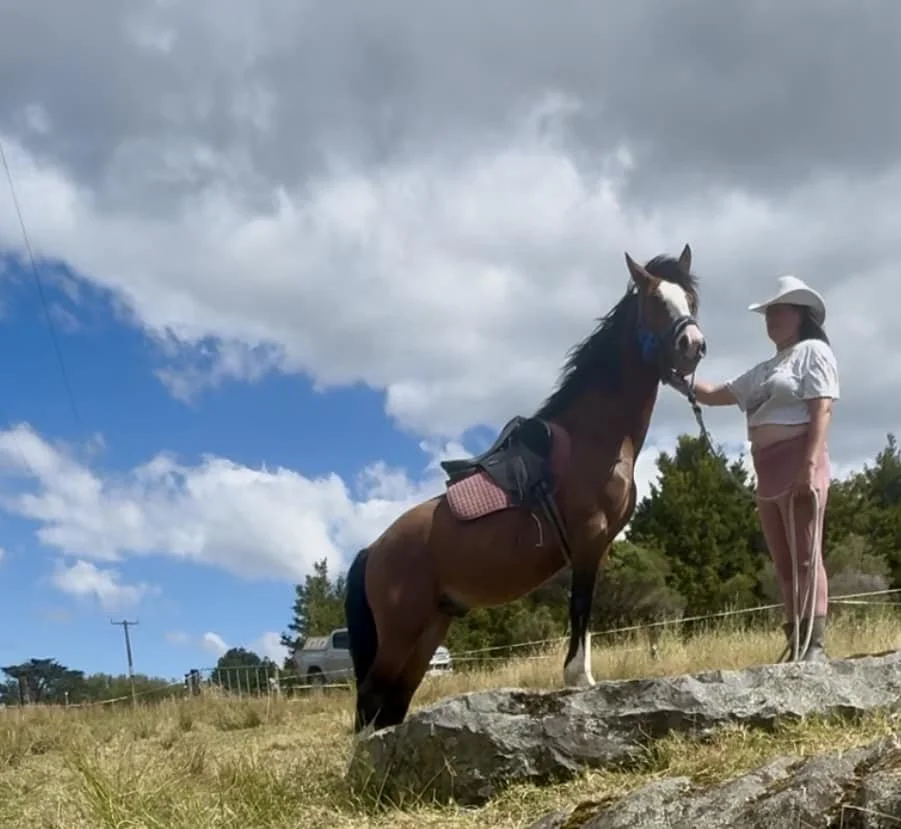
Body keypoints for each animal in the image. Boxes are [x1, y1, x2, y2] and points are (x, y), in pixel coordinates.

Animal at [344, 244, 707, 733]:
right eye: (654, 301)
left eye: (691, 301)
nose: (694, 345)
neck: (597, 435)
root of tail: (373, 550)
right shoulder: (589, 538)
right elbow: (580, 607)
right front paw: (579, 679)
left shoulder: (599, 545)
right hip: (400, 633)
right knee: (371, 698)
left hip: (429, 631)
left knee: (394, 702)